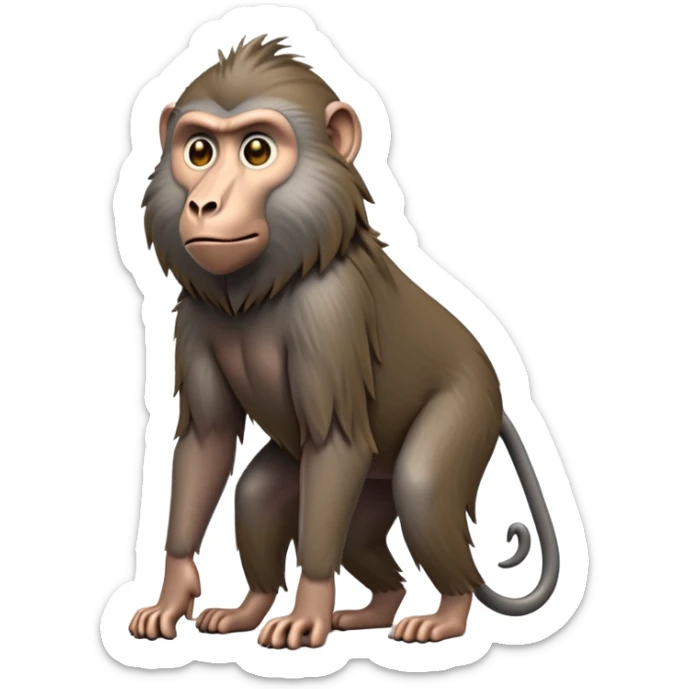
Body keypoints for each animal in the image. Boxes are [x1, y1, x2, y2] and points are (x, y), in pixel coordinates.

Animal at [128, 35, 559, 649]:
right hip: (369, 483)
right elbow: (207, 442)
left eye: (256, 151)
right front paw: (173, 591)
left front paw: (308, 611)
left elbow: (333, 442)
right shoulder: (196, 316)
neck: (269, 284)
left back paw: (446, 616)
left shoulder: (330, 314)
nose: (204, 204)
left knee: (421, 490)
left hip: (468, 408)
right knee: (269, 501)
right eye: (200, 151)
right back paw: (306, 608)